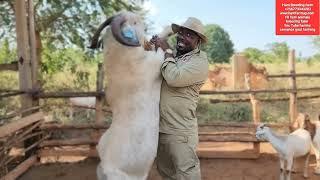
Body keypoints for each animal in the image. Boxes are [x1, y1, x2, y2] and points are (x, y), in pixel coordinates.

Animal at [88, 11, 172, 180]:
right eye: (134, 22)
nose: (146, 38)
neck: (122, 60)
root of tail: (106, 167)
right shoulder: (155, 63)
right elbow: (161, 49)